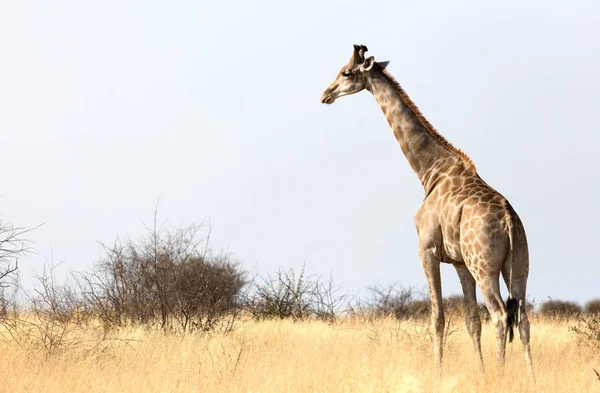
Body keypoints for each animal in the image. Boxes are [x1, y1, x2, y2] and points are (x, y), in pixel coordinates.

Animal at [322, 43, 532, 376]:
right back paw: (531, 377)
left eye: (346, 72)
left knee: (500, 315)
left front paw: (438, 372)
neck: (429, 171)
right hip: (518, 263)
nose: (325, 94)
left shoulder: (427, 250)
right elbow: (472, 321)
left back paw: (501, 374)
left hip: (484, 265)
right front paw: (480, 372)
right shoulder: (459, 263)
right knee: (522, 317)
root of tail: (509, 221)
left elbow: (438, 318)